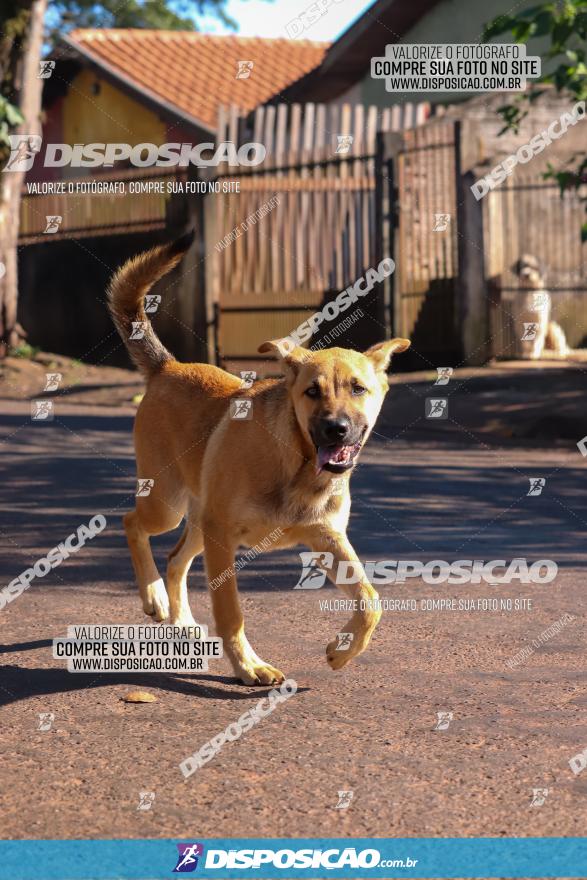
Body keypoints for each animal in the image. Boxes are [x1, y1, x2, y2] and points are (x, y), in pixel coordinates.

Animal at [110, 235, 412, 688]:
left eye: (358, 388)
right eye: (311, 391)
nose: (336, 430)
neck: (297, 464)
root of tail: (169, 367)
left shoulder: (327, 539)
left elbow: (370, 600)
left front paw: (341, 651)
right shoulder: (223, 538)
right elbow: (231, 612)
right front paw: (248, 667)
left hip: (199, 521)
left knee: (176, 558)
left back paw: (183, 622)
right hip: (169, 505)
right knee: (132, 524)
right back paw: (154, 597)